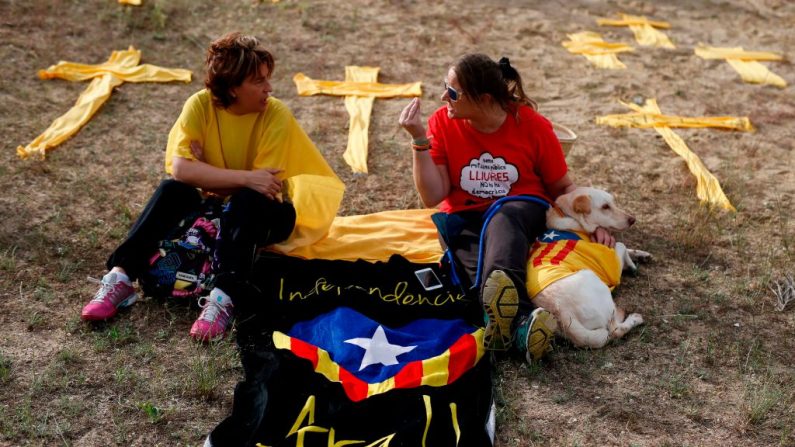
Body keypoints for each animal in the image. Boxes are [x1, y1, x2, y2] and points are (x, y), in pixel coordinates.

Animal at [524, 187, 648, 348]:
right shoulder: (610, 265)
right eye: (605, 207)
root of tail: (561, 312)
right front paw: (632, 265)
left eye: (613, 203)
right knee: (614, 330)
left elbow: (623, 246)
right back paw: (633, 318)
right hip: (592, 277)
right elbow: (621, 245)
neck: (571, 218)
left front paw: (641, 254)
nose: (632, 219)